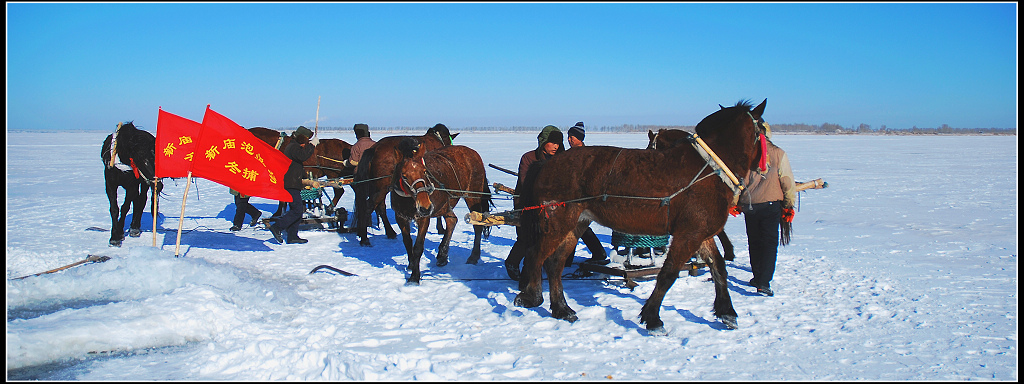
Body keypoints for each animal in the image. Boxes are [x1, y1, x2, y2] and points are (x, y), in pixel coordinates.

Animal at [387, 138, 491, 286]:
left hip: (472, 195)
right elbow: (407, 242)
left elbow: (418, 247)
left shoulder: (424, 218)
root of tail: (473, 152)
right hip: (446, 203)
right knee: (452, 220)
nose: (425, 206)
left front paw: (414, 277)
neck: (408, 199)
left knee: (477, 226)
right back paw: (442, 255)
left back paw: (473, 256)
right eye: (404, 176)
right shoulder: (400, 216)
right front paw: (411, 264)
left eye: (424, 171)